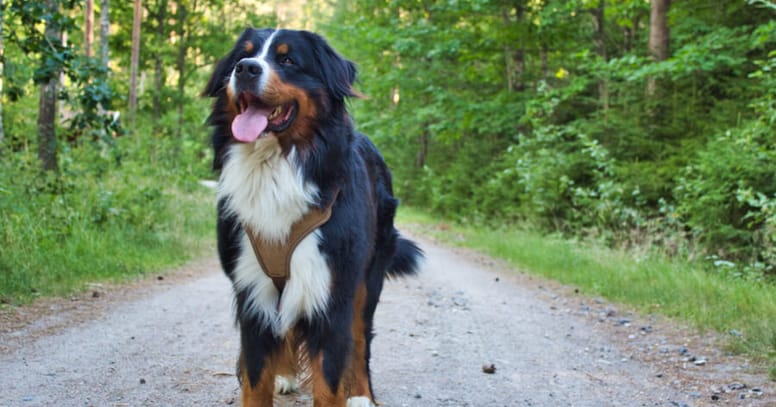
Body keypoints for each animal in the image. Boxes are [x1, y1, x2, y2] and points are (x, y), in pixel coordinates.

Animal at [203, 28, 422, 407]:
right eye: (241, 57)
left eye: (288, 59)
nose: (246, 69)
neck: (276, 168)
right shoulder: (252, 295)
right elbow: (256, 380)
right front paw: (274, 377)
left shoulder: (332, 292)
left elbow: (331, 379)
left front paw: (347, 392)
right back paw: (286, 376)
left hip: (367, 279)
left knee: (360, 338)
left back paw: (361, 395)